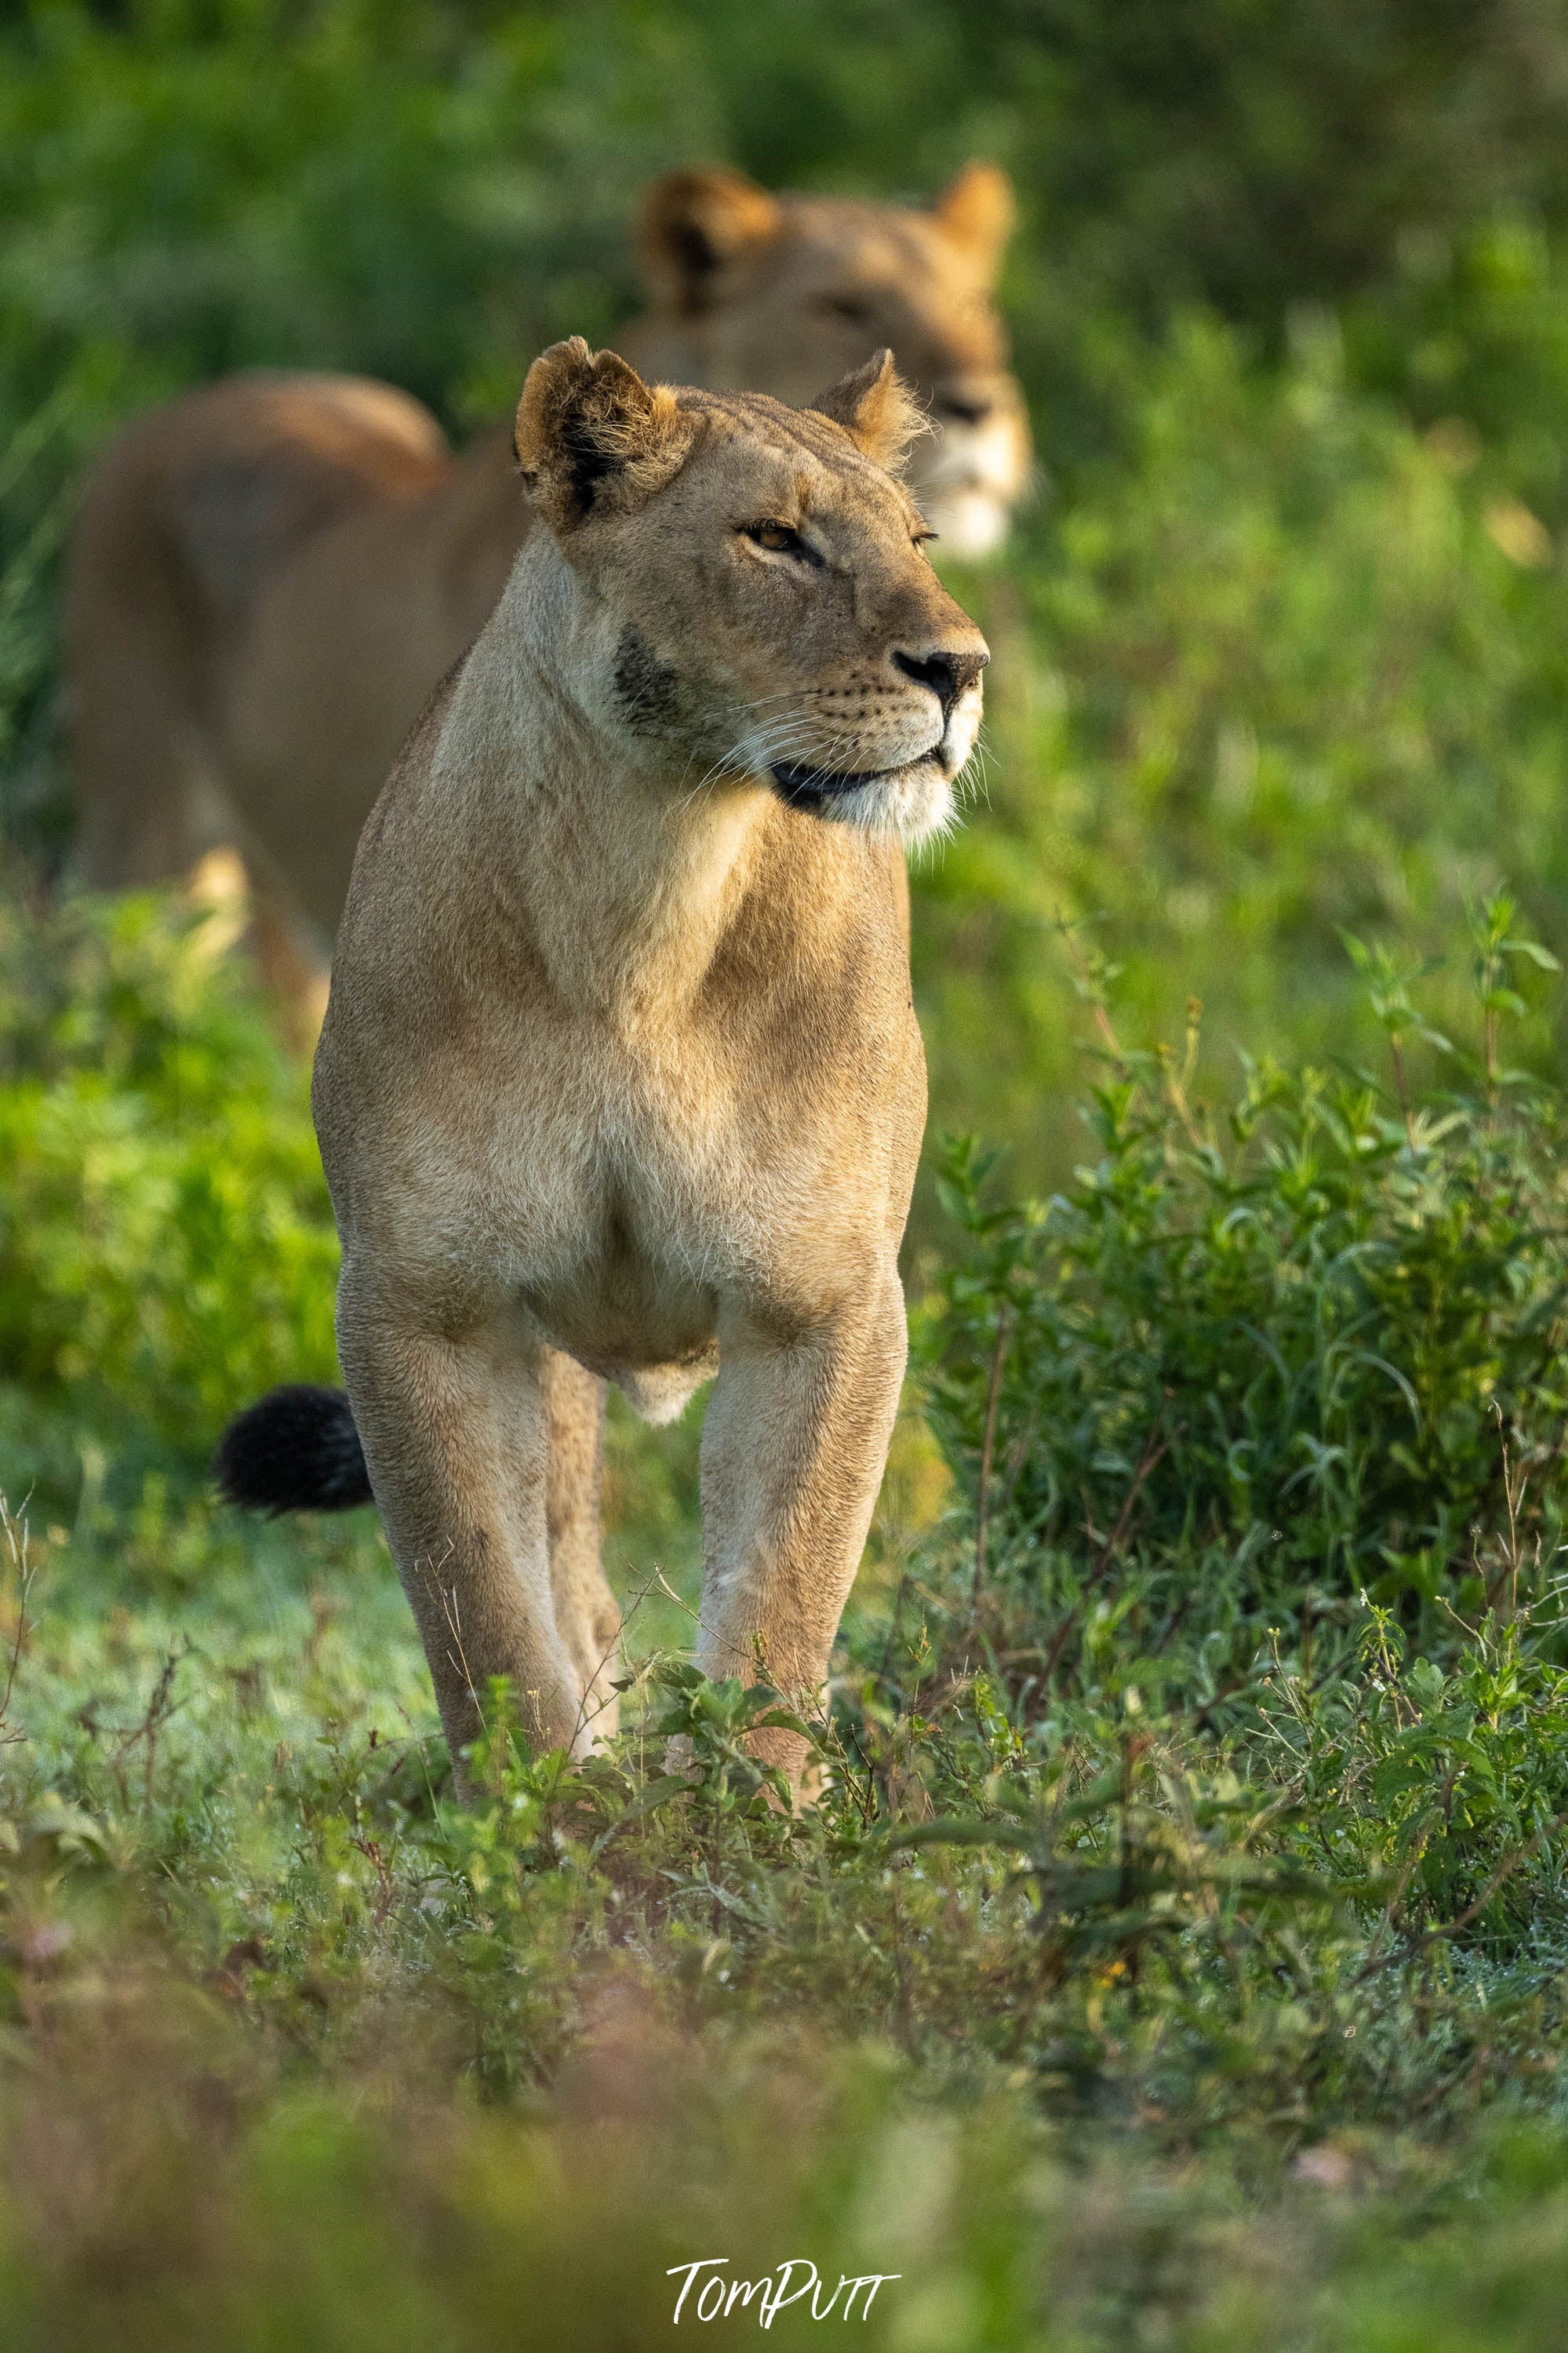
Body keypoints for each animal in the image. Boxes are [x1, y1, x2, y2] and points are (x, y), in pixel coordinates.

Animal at [216, 338, 988, 1788]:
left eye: (915, 538)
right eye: (773, 537)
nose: (961, 668)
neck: (650, 886)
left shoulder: (823, 1296)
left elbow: (782, 1587)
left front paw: (756, 1807)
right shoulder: (425, 1300)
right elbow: (480, 1606)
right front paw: (533, 1813)